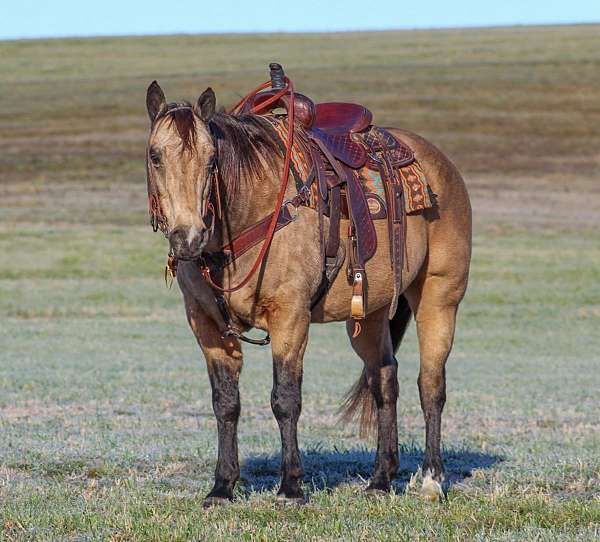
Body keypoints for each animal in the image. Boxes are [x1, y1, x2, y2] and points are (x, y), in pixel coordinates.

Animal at [145, 66, 474, 508]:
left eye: (211, 158)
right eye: (155, 156)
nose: (188, 237)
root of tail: (441, 163)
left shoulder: (290, 317)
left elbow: (285, 400)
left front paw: (290, 488)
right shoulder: (207, 326)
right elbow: (225, 403)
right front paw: (222, 487)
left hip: (439, 296)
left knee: (431, 384)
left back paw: (431, 480)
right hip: (369, 313)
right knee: (384, 380)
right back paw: (380, 479)